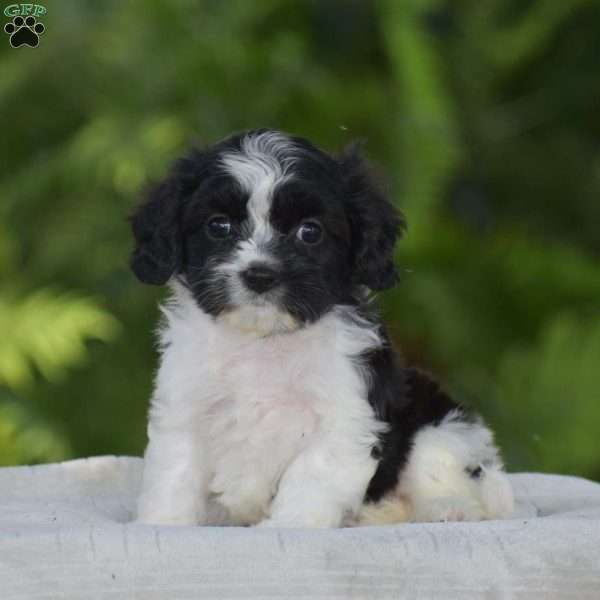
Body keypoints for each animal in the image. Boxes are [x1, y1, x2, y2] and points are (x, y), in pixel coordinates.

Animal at [129, 129, 512, 528]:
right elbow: (175, 474)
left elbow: (309, 478)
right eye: (218, 226)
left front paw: (288, 527)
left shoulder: (343, 418)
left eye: (309, 232)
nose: (259, 275)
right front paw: (164, 524)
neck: (263, 342)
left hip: (438, 424)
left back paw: (447, 509)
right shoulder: (185, 409)